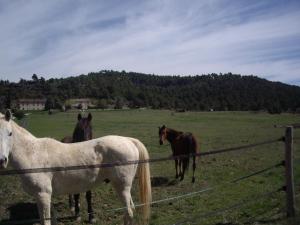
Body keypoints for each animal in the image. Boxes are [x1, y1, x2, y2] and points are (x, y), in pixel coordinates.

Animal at [0, 111, 151, 225]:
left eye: (10, 133)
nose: (2, 160)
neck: (33, 153)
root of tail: (129, 140)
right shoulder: (41, 197)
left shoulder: (43, 195)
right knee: (130, 210)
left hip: (122, 187)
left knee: (129, 212)